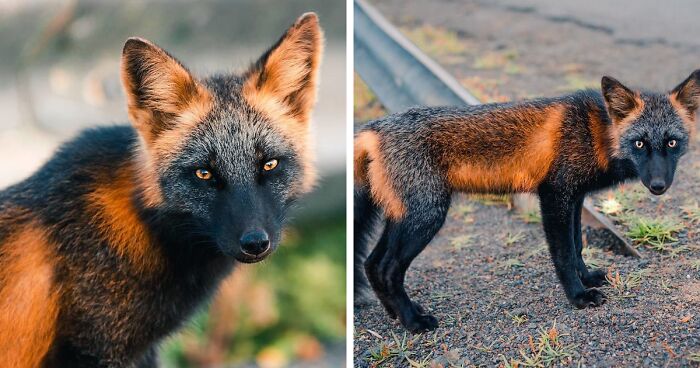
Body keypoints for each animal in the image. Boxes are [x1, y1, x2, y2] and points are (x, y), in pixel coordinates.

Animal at [356, 69, 700, 334]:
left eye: (672, 142)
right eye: (640, 143)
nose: (658, 186)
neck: (595, 133)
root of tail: (375, 126)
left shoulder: (575, 197)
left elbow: (577, 245)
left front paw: (587, 278)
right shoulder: (554, 196)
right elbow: (564, 254)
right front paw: (578, 296)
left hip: (404, 217)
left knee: (371, 264)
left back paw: (397, 313)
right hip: (426, 217)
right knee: (387, 268)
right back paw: (413, 321)